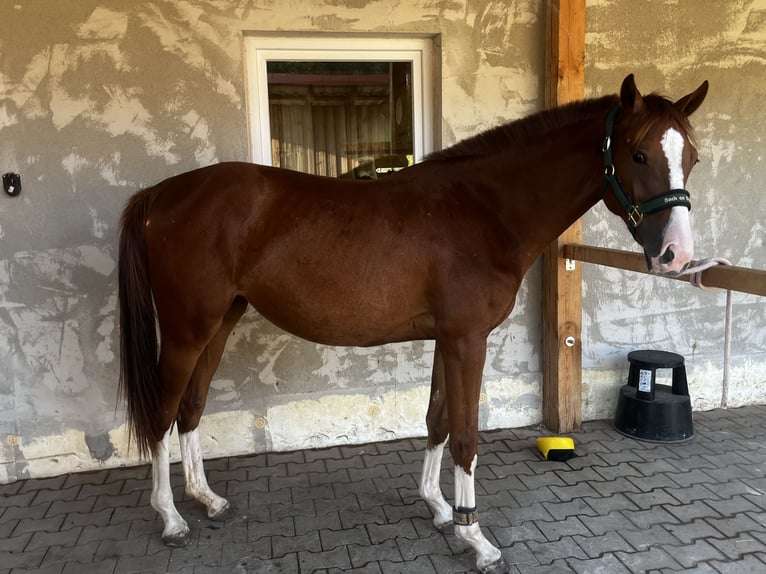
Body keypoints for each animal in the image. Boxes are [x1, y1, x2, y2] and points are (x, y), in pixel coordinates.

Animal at [118, 74, 708, 573]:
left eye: (694, 157)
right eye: (638, 154)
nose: (677, 255)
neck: (485, 208)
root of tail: (160, 194)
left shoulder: (448, 339)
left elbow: (437, 420)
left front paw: (440, 509)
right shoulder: (468, 341)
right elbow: (466, 436)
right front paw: (476, 539)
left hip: (219, 323)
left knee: (190, 410)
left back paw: (206, 499)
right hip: (186, 330)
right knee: (163, 414)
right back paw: (171, 519)